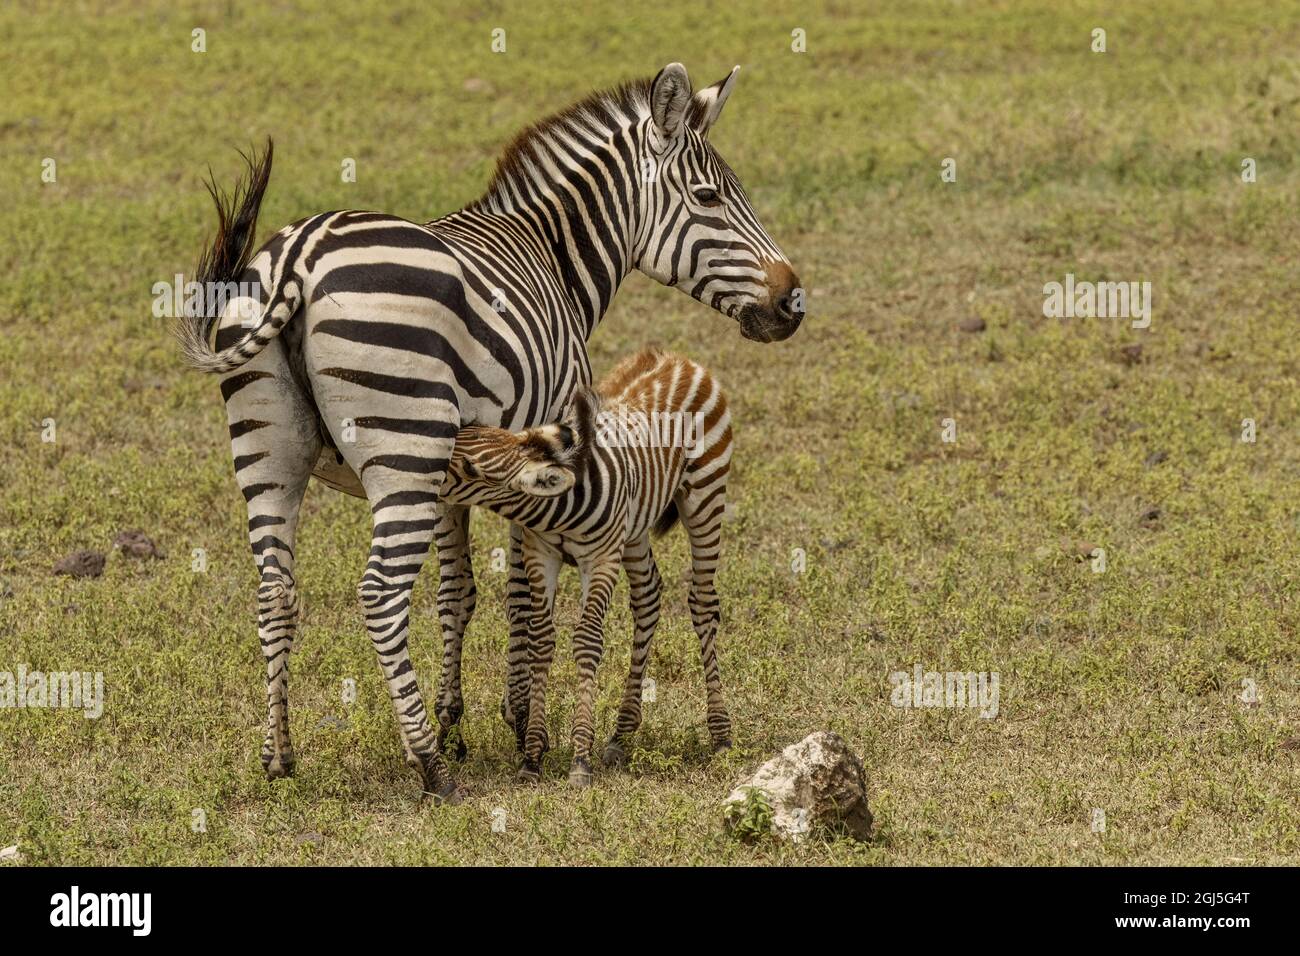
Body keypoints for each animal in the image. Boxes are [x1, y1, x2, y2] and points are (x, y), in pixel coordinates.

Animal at [175, 63, 800, 806]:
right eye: (709, 197)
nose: (793, 302)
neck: (553, 254)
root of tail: (299, 255)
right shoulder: (541, 445)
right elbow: (525, 597)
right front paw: (519, 722)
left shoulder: (457, 479)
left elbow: (459, 593)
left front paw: (457, 722)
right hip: (403, 449)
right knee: (380, 595)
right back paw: (428, 768)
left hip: (268, 450)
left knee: (275, 592)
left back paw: (280, 756)